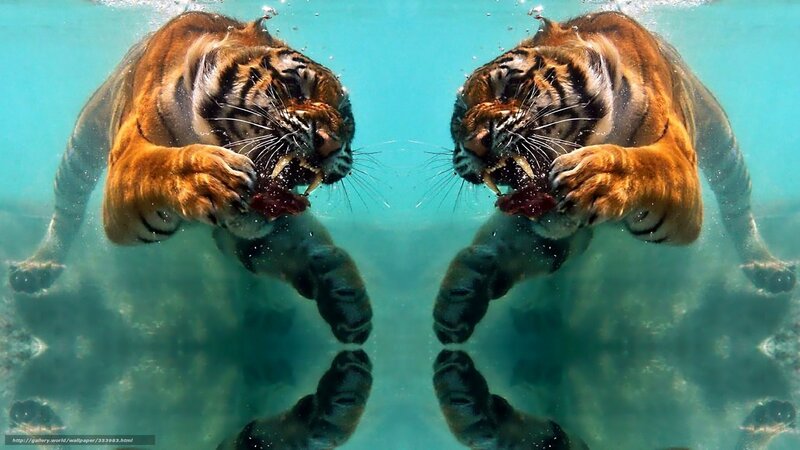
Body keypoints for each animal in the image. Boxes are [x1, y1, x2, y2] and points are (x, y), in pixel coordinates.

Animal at [7, 11, 372, 344]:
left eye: (346, 118)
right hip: (82, 145)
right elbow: (157, 166)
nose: (331, 144)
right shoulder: (126, 161)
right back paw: (37, 268)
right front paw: (209, 177)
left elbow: (300, 245)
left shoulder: (253, 229)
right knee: (67, 208)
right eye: (294, 85)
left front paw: (345, 295)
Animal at [433, 11, 797, 344]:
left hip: (722, 143)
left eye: (511, 86)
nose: (473, 144)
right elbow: (502, 246)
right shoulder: (551, 229)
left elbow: (647, 166)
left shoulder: (679, 161)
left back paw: (767, 269)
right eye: (459, 117)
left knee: (737, 208)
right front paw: (459, 296)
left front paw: (596, 177)